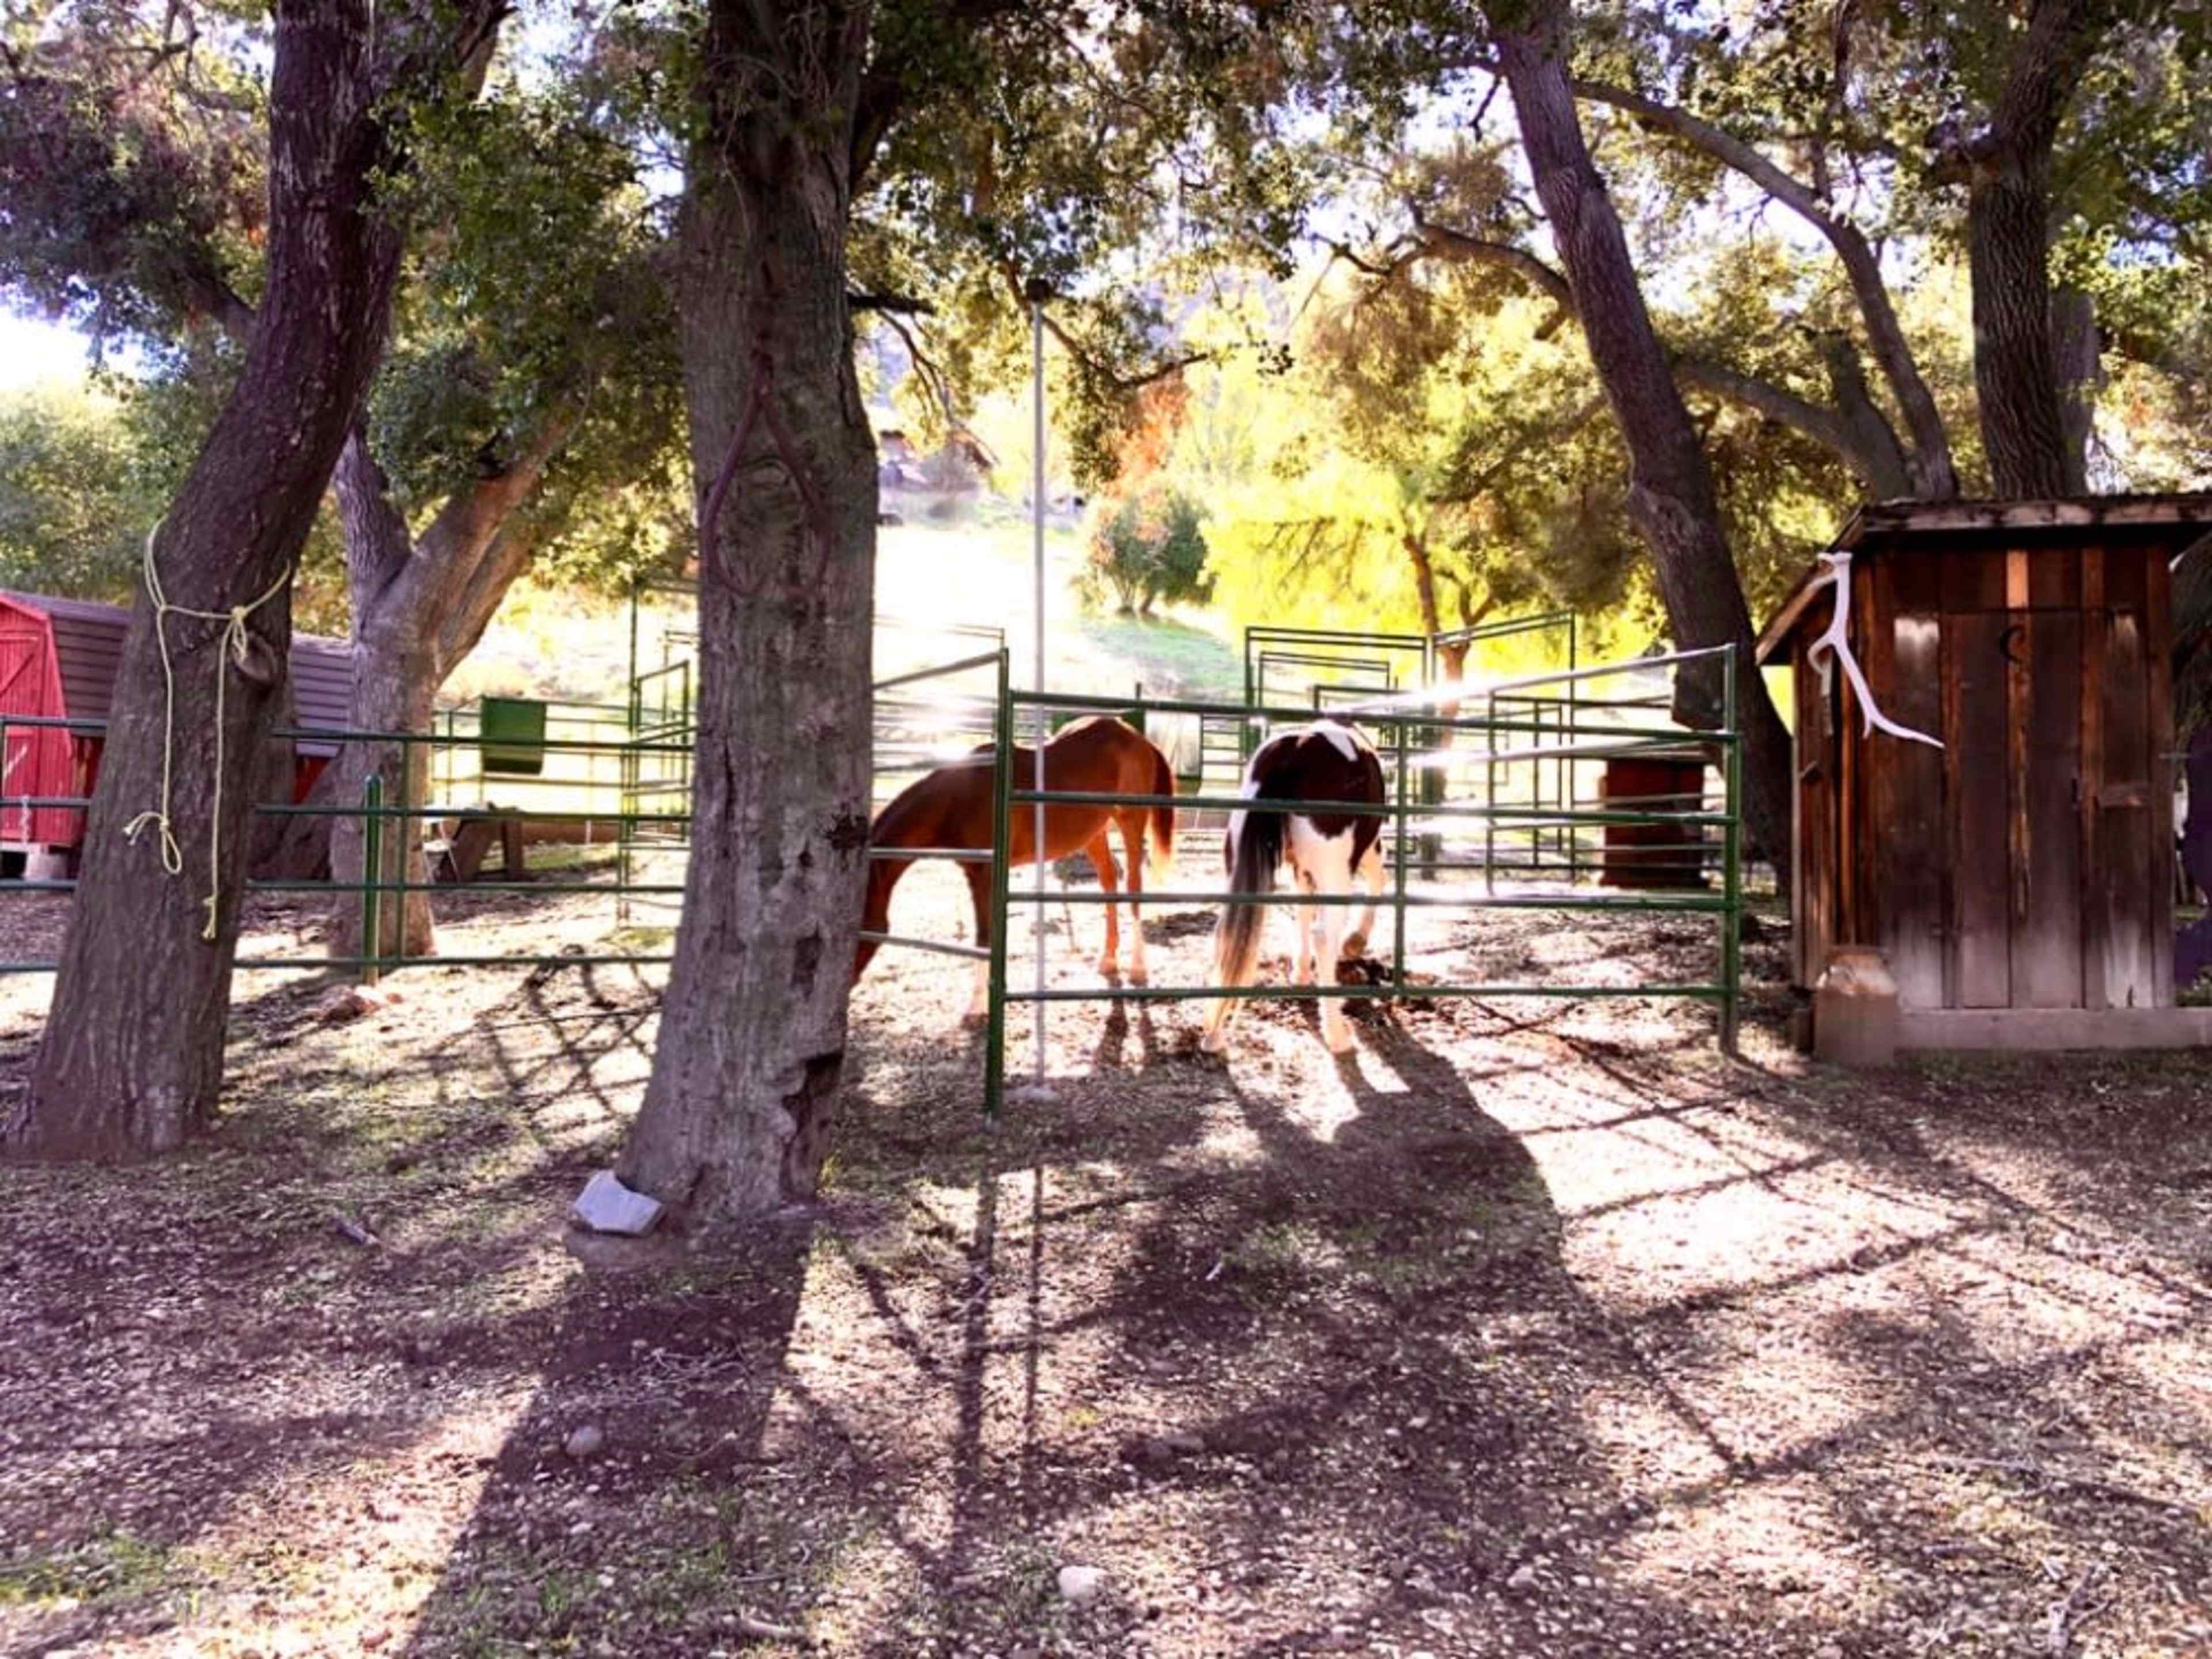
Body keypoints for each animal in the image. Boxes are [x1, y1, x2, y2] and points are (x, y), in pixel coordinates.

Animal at [855, 714, 1177, 1015]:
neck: (960, 798)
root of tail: (1137, 737)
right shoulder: (973, 873)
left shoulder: (986, 875)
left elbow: (984, 937)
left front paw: (977, 1006)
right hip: (1094, 833)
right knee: (1109, 881)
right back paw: (1108, 961)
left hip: (1131, 821)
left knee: (1134, 887)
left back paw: (1137, 969)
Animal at [1203, 717, 1387, 1056]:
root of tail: (1293, 748)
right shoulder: (1368, 850)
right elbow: (1379, 882)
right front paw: (1355, 941)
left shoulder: (1301, 868)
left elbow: (1303, 909)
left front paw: (1300, 971)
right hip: (1336, 872)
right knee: (1325, 938)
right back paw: (1337, 1034)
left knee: (1230, 935)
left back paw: (1216, 1033)